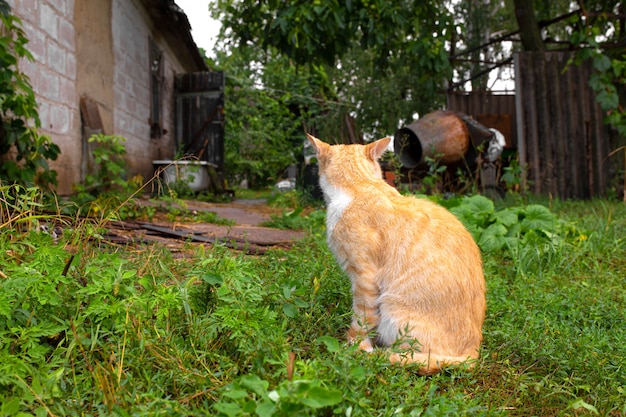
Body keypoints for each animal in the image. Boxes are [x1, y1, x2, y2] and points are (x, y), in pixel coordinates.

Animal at [308, 133, 488, 374]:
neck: (362, 186)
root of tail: (473, 352)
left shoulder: (364, 277)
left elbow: (361, 318)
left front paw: (355, 347)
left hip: (393, 312)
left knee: (412, 355)